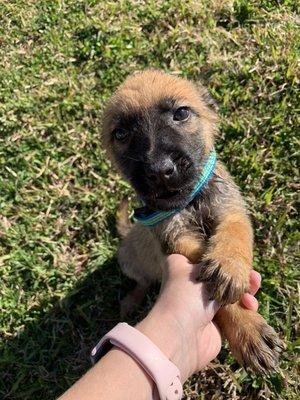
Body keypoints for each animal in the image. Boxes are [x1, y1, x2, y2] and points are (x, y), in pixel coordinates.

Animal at [102, 70, 282, 374]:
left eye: (181, 113)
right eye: (121, 133)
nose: (160, 170)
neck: (189, 203)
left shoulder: (230, 208)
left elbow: (234, 233)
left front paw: (229, 267)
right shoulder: (178, 239)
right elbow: (220, 300)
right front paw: (248, 330)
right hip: (127, 260)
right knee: (142, 281)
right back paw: (132, 300)